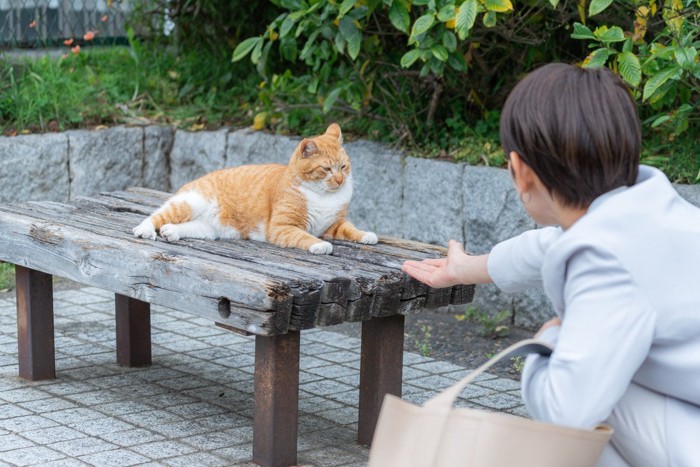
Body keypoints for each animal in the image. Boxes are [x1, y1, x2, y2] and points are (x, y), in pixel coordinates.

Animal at [131, 122, 378, 254]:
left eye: (343, 166)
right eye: (326, 169)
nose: (340, 180)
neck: (323, 196)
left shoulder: (335, 225)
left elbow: (351, 229)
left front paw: (366, 235)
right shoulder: (282, 227)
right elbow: (305, 237)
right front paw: (320, 245)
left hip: (208, 229)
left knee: (180, 226)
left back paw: (171, 232)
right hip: (189, 203)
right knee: (155, 216)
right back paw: (145, 230)